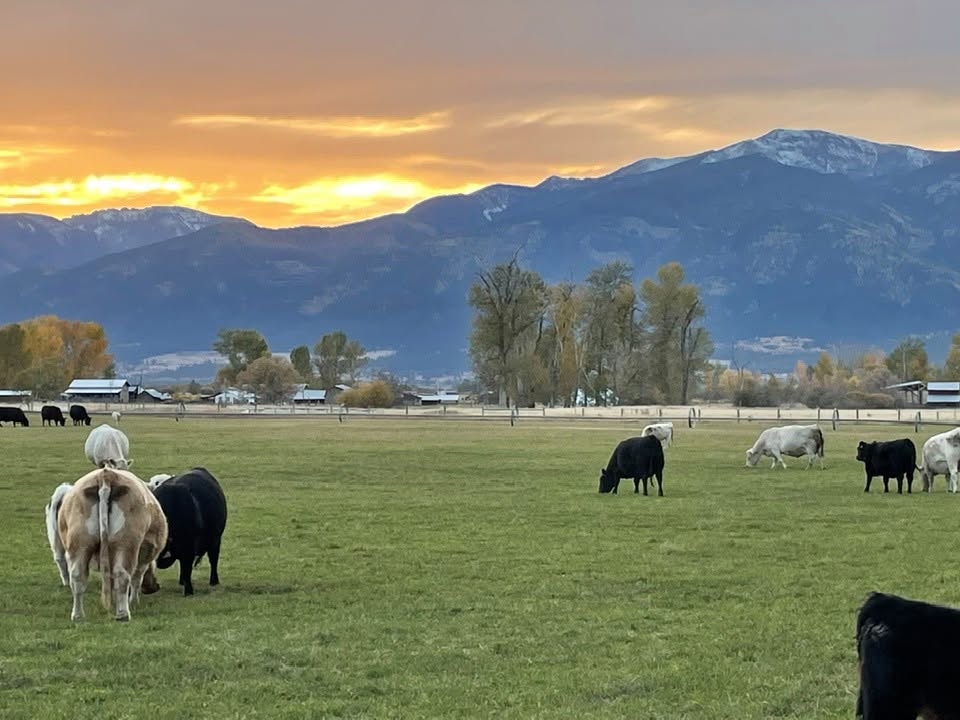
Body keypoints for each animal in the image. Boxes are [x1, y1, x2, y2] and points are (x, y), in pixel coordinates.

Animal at [57, 467, 167, 621]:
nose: (154, 588)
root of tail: (107, 475)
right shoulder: (145, 554)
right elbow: (137, 577)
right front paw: (133, 602)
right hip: (125, 543)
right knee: (122, 575)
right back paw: (123, 614)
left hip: (80, 542)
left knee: (77, 576)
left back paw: (78, 615)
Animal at [153, 467, 228, 596]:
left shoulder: (189, 549)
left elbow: (187, 568)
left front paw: (188, 591)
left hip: (215, 541)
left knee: (213, 560)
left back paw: (214, 581)